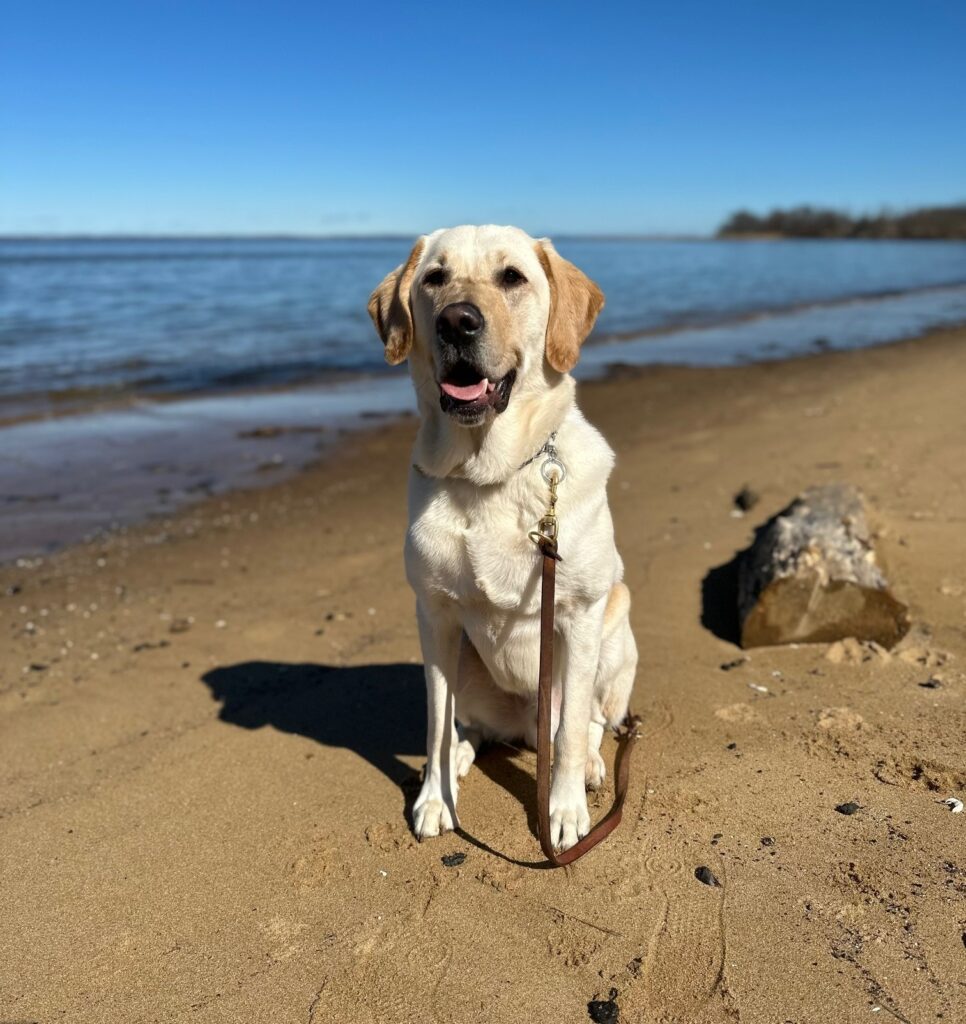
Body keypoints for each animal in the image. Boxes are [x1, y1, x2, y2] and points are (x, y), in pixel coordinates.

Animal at [368, 228, 635, 851]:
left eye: (512, 277)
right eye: (434, 278)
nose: (457, 321)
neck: (488, 475)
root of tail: (522, 724)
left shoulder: (579, 614)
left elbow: (570, 731)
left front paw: (563, 811)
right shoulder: (435, 616)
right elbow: (436, 722)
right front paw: (435, 797)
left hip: (617, 636)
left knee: (584, 722)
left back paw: (589, 765)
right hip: (470, 663)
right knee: (470, 727)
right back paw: (460, 758)